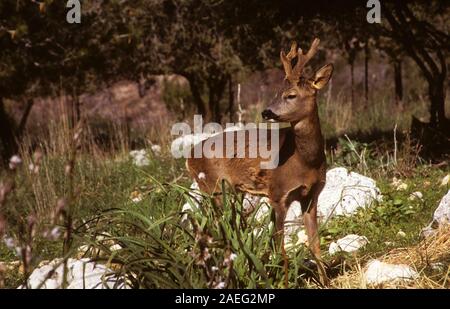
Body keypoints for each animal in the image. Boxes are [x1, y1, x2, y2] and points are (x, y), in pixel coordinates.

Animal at [186, 38, 334, 284]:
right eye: (276, 93)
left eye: (291, 95)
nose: (266, 112)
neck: (305, 162)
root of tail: (189, 156)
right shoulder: (278, 194)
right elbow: (280, 247)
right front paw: (283, 281)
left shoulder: (311, 195)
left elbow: (315, 245)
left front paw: (325, 282)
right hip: (212, 188)